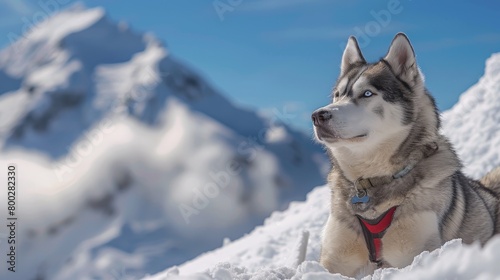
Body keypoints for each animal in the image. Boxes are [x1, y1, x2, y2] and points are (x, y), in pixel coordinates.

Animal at [312, 33, 500, 278]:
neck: (372, 181)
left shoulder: (412, 255)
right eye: (337, 95)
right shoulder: (334, 260)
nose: (318, 116)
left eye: (367, 93)